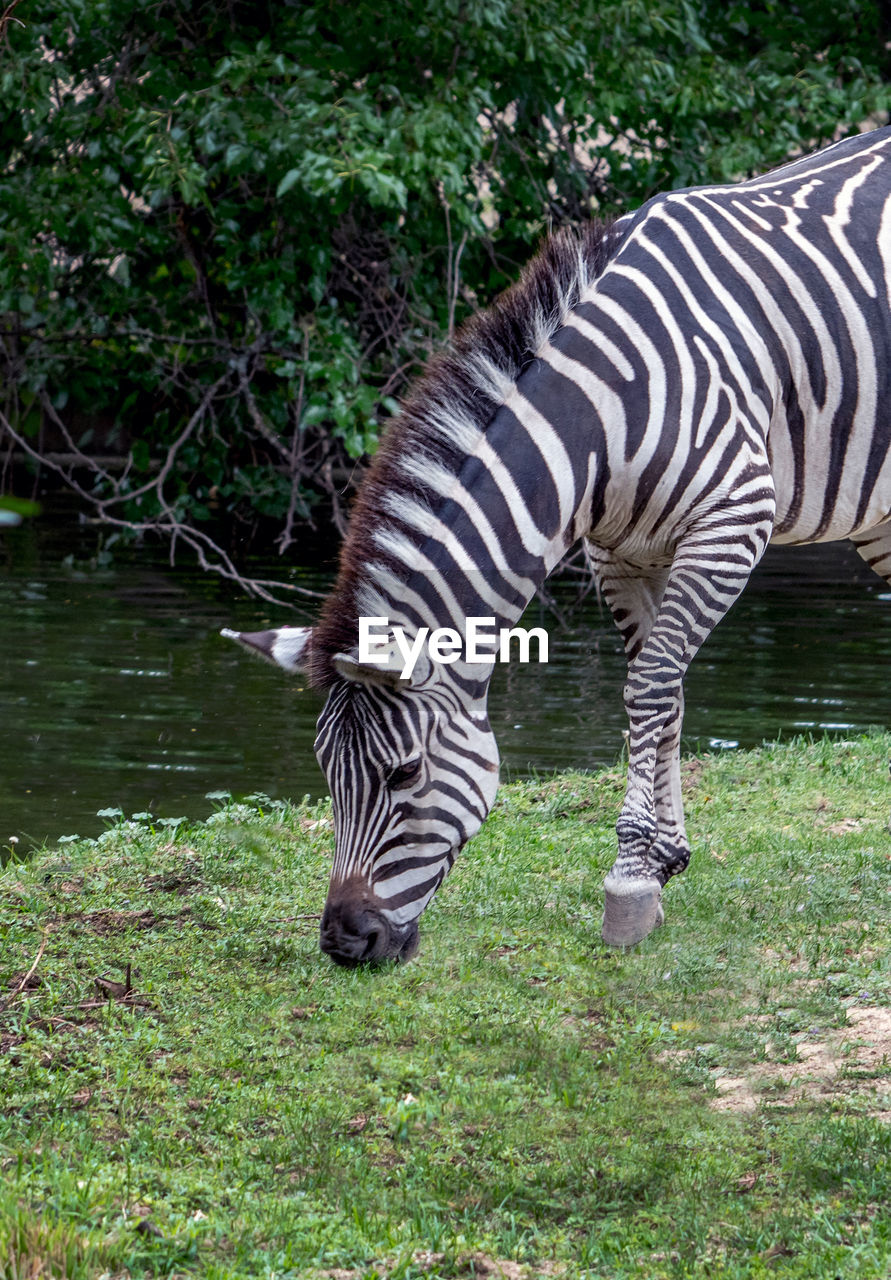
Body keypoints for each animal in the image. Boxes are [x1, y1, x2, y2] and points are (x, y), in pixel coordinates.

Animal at [224, 124, 891, 962]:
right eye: (324, 773)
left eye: (404, 774)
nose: (345, 943)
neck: (602, 416)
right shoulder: (620, 553)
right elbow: (662, 691)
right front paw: (664, 859)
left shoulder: (731, 523)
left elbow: (648, 690)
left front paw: (630, 882)